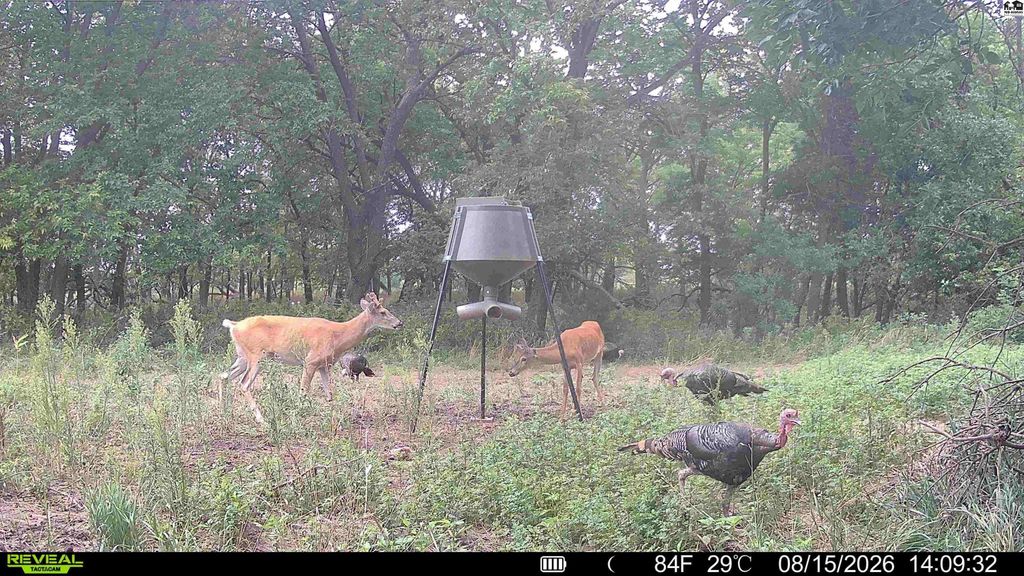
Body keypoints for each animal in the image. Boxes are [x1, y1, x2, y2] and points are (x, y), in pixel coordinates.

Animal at [220, 292, 403, 423]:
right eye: (383, 312)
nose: (399, 323)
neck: (338, 336)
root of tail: (234, 326)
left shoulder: (325, 365)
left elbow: (330, 393)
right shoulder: (311, 361)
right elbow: (304, 391)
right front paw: (299, 414)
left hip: (242, 356)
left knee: (224, 376)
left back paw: (225, 410)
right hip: (255, 355)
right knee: (243, 384)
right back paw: (261, 419)